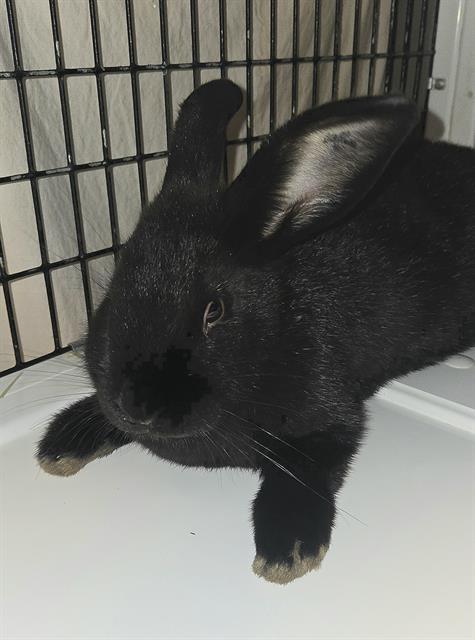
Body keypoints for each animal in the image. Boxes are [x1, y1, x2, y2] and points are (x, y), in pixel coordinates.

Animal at [37, 79, 475, 584]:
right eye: (114, 284)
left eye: (215, 311)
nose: (137, 409)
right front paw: (60, 447)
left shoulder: (329, 422)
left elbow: (303, 475)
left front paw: (287, 553)